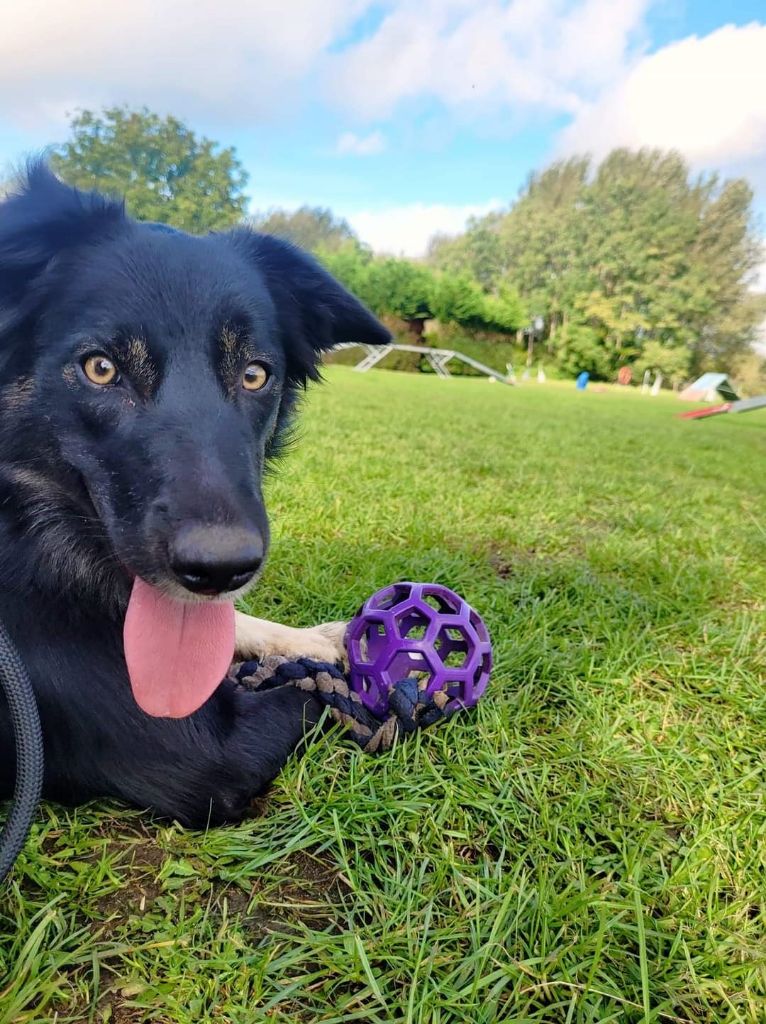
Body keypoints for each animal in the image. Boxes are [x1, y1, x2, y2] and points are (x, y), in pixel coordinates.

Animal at [0, 163, 391, 827]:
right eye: (101, 368)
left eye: (255, 374)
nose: (219, 570)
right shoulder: (201, 751)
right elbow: (307, 695)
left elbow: (237, 629)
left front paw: (320, 639)